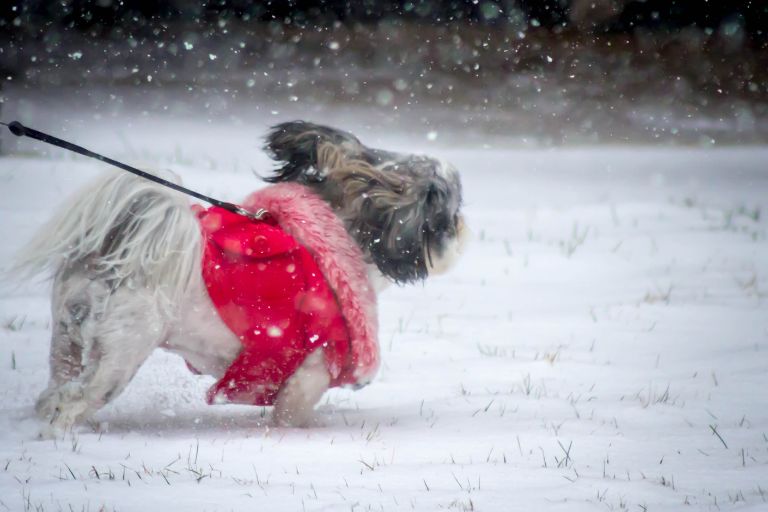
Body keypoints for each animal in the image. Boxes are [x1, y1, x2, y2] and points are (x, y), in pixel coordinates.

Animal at [13, 121, 468, 436]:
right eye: (449, 216)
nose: (464, 228)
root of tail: (113, 257)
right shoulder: (308, 373)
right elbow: (293, 414)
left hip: (68, 337)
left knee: (54, 388)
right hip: (120, 354)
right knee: (73, 400)